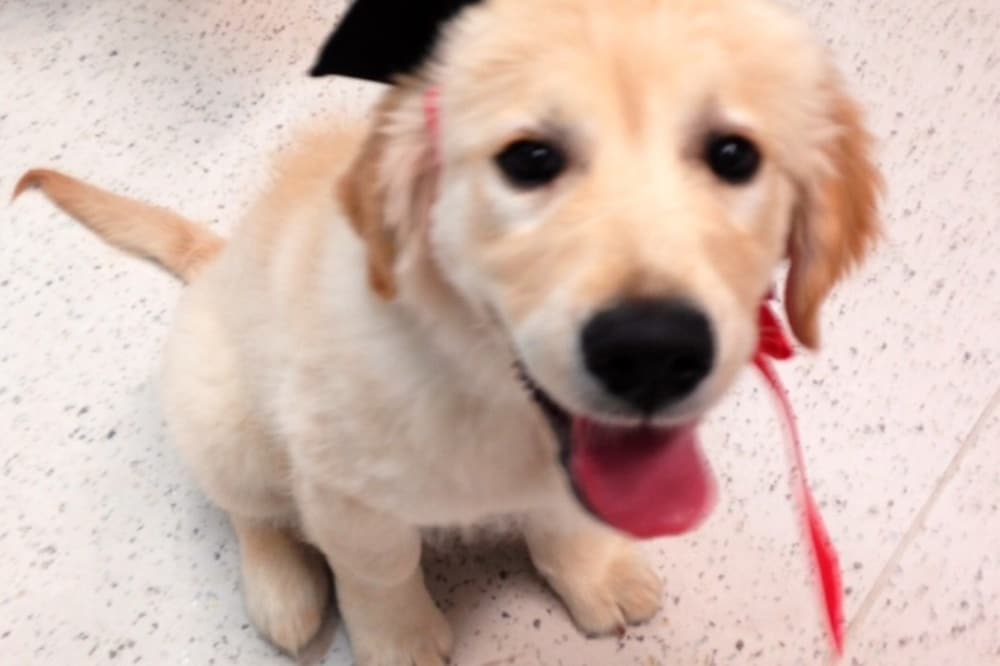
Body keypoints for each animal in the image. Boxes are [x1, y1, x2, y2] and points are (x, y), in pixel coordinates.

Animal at [13, 0, 876, 660]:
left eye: (733, 155)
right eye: (530, 160)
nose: (653, 352)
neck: (483, 384)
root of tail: (219, 257)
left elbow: (562, 514)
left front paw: (590, 571)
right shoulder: (340, 485)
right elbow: (379, 568)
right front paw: (398, 640)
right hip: (223, 414)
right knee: (247, 507)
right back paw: (283, 588)